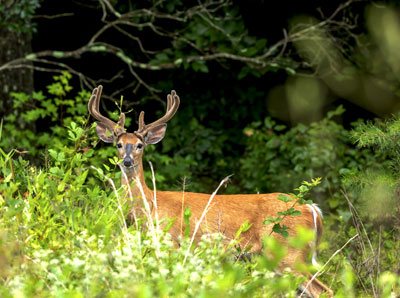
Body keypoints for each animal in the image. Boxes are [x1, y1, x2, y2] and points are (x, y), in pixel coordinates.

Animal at [88, 85, 334, 296]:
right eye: (119, 145)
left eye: (140, 145)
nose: (127, 161)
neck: (149, 204)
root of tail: (312, 209)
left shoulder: (172, 241)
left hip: (289, 252)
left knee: (324, 290)